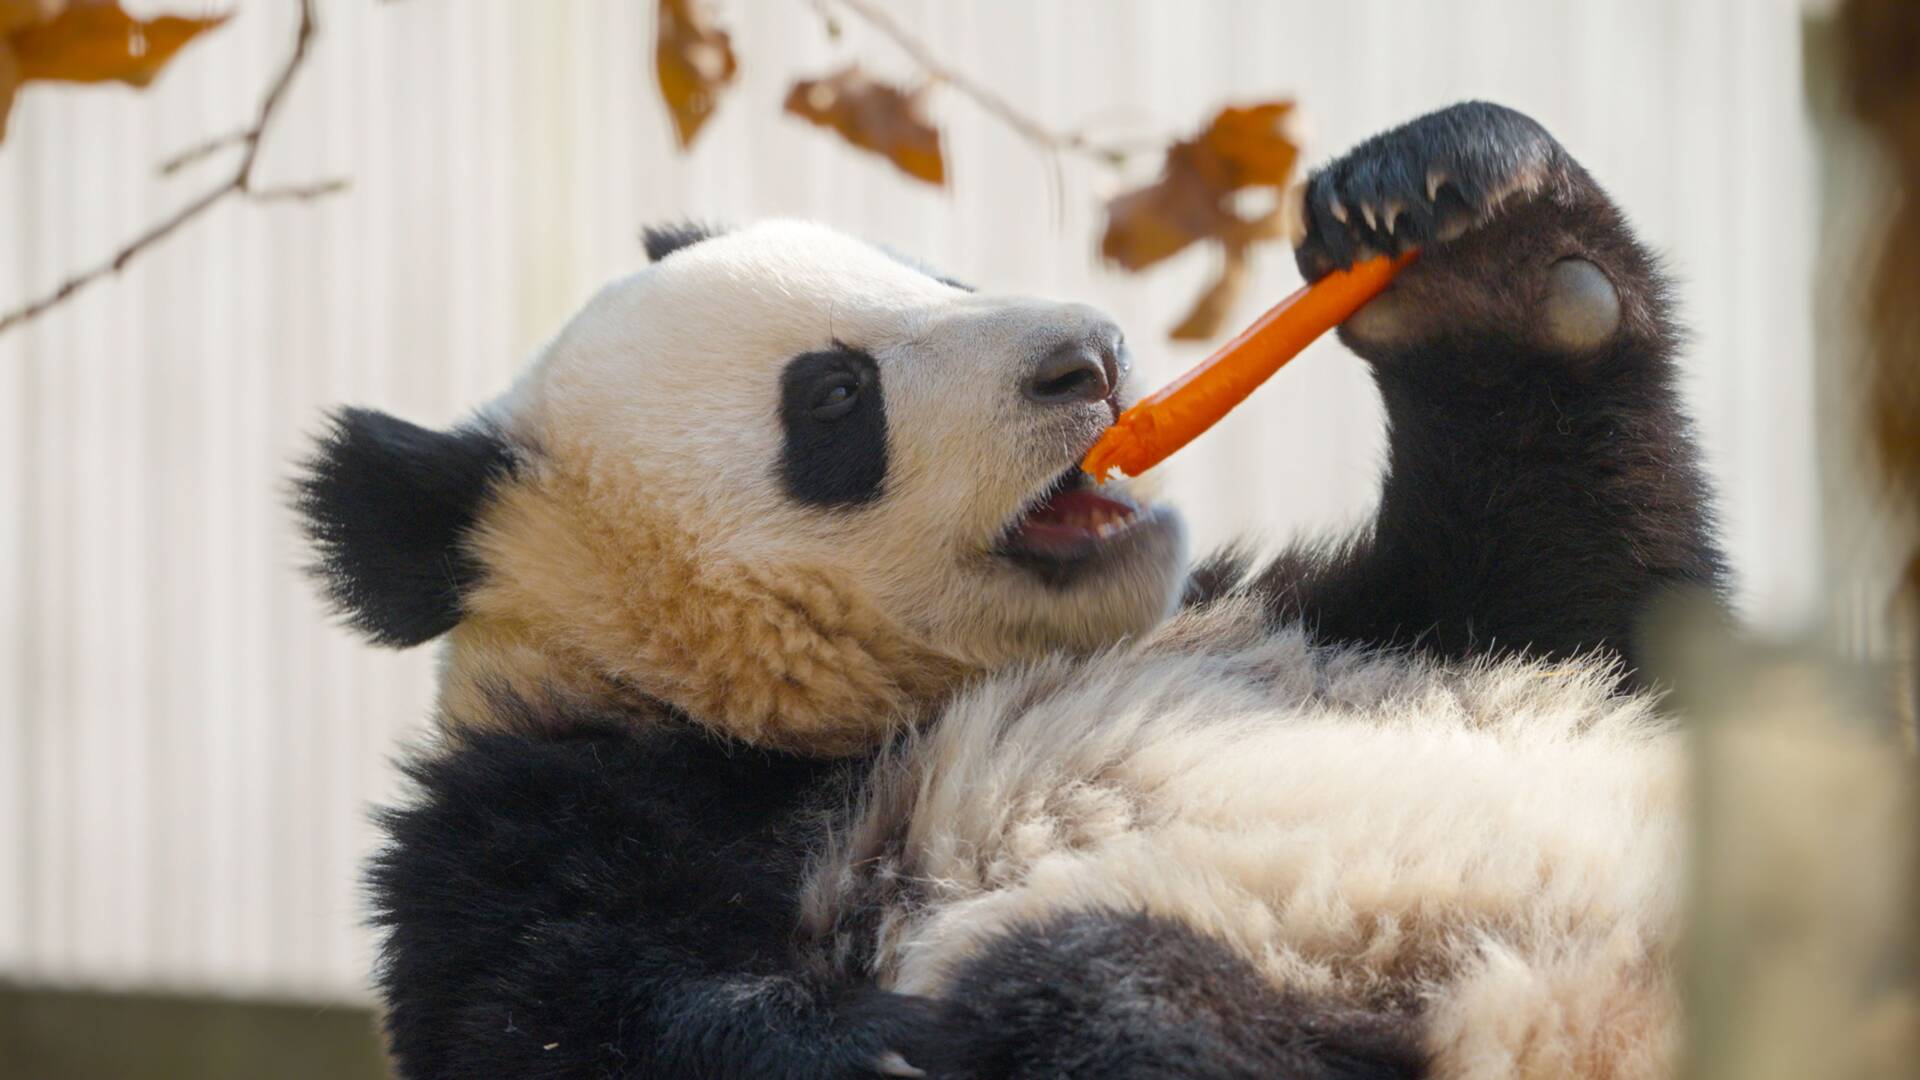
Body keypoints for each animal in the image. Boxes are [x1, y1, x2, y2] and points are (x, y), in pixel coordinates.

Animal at [294, 102, 1723, 1079]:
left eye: (936, 276)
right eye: (834, 397)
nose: (1083, 359)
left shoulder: (1331, 625)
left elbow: (1591, 600)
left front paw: (1472, 230)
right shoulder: (549, 824)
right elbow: (581, 1020)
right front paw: (887, 1045)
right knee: (1091, 978)